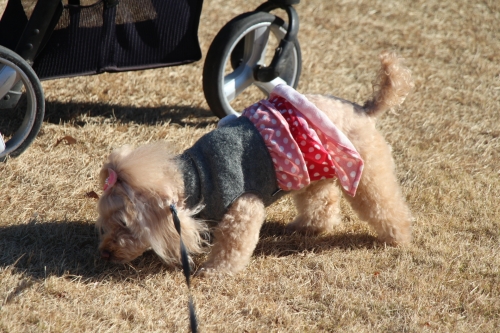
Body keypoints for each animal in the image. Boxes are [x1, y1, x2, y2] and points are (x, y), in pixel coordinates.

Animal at [95, 52, 412, 274]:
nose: (105, 253)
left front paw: (214, 271)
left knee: (384, 204)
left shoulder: (244, 207)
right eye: (104, 224)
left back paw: (399, 236)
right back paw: (307, 226)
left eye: (124, 224)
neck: (196, 179)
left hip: (367, 171)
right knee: (323, 201)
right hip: (312, 168)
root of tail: (363, 109)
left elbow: (232, 246)